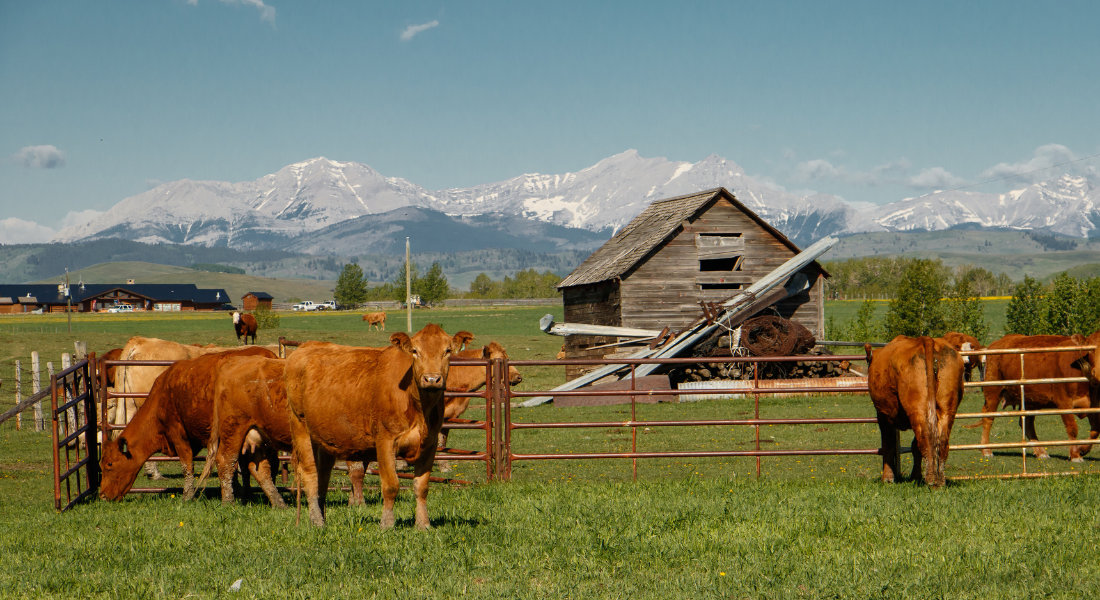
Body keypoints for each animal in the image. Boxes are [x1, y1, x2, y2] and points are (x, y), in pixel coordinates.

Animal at [286, 323, 471, 528]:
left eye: (447, 351)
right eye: (415, 351)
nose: (432, 379)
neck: (419, 406)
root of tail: (305, 347)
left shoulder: (429, 444)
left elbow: (422, 487)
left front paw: (423, 524)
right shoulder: (385, 441)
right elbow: (391, 485)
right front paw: (387, 523)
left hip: (325, 438)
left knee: (323, 475)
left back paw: (321, 516)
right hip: (300, 426)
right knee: (310, 473)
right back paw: (317, 520)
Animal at [867, 336, 965, 487]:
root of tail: (927, 339)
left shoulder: (883, 415)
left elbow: (888, 445)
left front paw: (888, 479)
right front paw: (915, 476)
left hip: (917, 408)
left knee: (925, 438)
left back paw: (931, 479)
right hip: (947, 408)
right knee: (941, 440)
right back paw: (939, 480)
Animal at [979, 332, 1100, 462]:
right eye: (1090, 349)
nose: (1097, 373)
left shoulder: (1094, 405)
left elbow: (1095, 430)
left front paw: (1082, 450)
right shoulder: (1064, 402)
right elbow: (1072, 428)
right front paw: (1075, 455)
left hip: (1030, 400)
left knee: (1027, 423)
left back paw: (1041, 452)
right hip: (993, 391)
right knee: (988, 418)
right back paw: (986, 450)